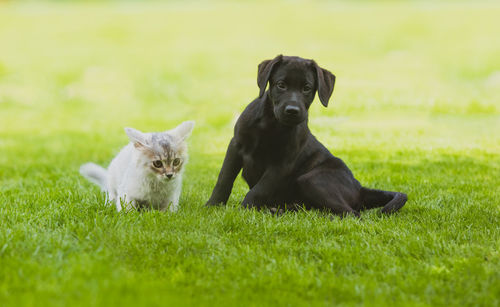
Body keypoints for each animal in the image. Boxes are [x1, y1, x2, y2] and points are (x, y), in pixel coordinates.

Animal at [205, 56, 408, 219]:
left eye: (307, 88)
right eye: (281, 85)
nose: (292, 110)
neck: (271, 123)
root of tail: (360, 188)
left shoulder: (282, 164)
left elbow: (258, 190)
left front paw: (244, 210)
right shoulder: (236, 146)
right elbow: (224, 179)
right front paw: (212, 206)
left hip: (311, 179)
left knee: (351, 214)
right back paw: (279, 210)